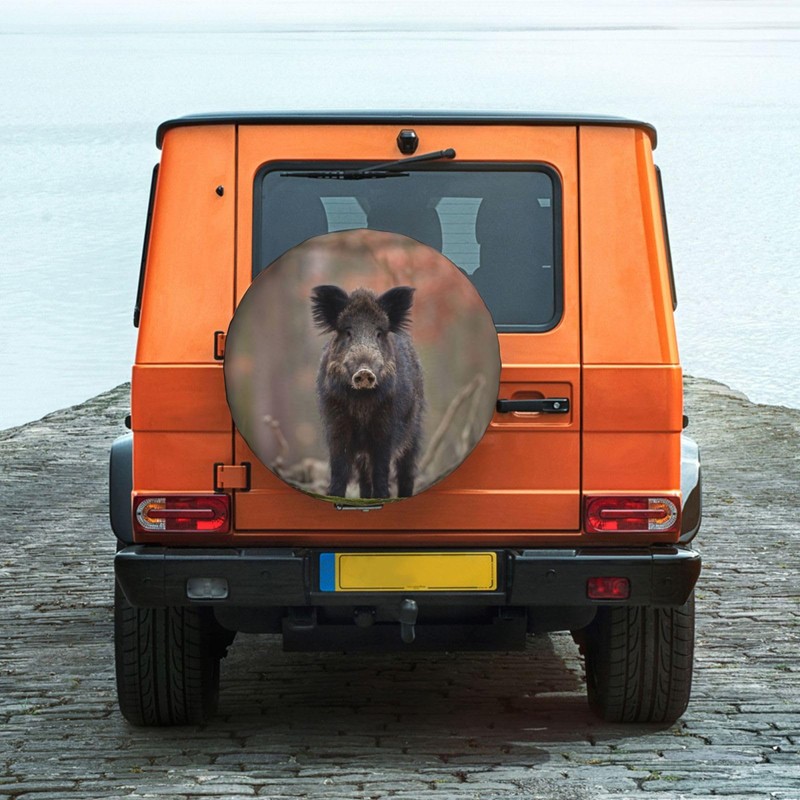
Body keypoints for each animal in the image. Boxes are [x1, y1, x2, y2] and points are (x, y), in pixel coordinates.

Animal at [311, 285, 424, 499]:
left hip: (414, 429)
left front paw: (382, 496)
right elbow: (340, 467)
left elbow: (381, 467)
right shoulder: (336, 423)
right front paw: (334, 495)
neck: (361, 403)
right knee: (364, 476)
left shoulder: (386, 426)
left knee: (406, 470)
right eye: (348, 332)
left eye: (379, 333)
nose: (364, 371)